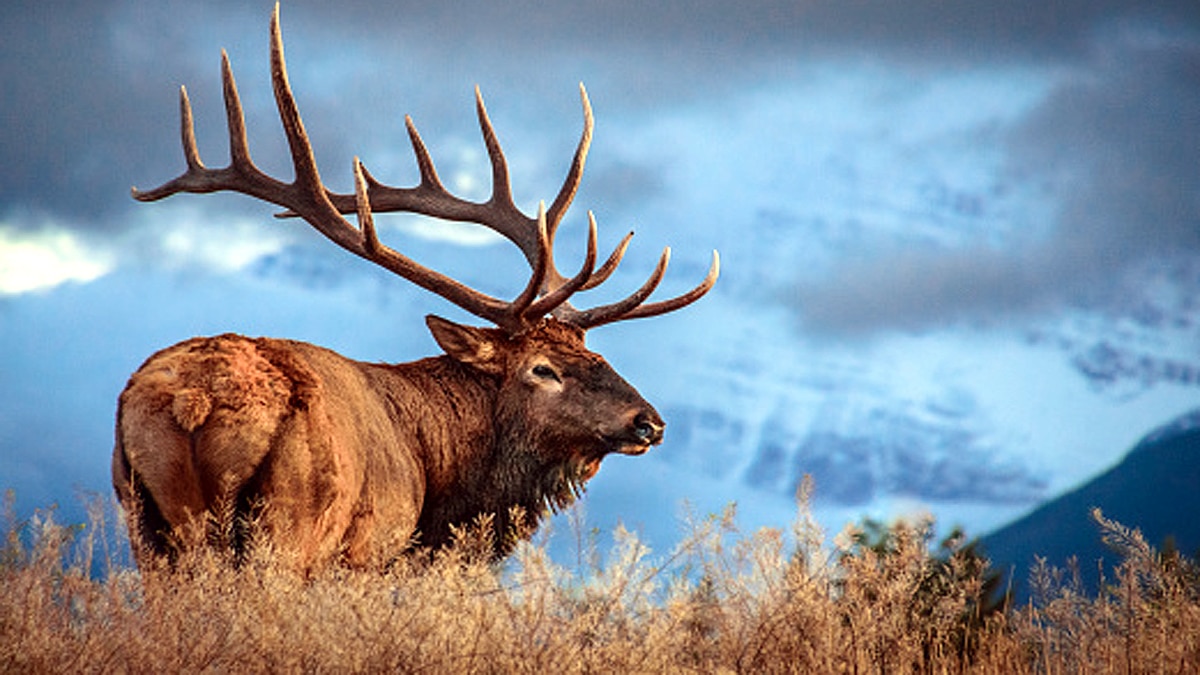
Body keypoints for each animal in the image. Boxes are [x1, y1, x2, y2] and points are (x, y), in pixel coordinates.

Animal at [113, 6, 718, 571]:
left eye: (598, 356)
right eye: (542, 369)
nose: (648, 421)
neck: (438, 479)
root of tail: (194, 401)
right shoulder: (368, 551)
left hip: (144, 525)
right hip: (289, 526)